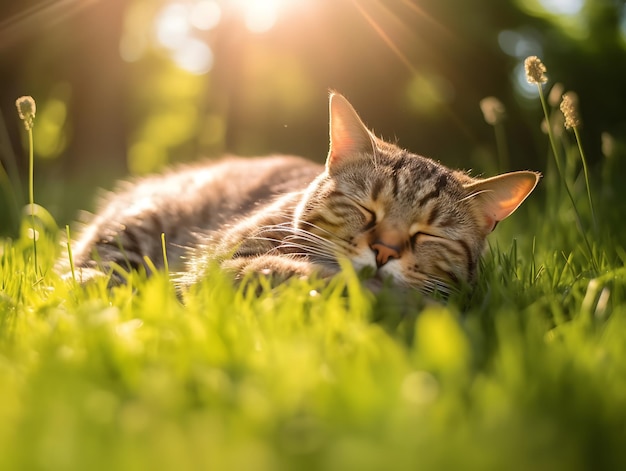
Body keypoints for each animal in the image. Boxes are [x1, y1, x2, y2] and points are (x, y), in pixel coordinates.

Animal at [66, 91, 540, 296]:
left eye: (428, 234)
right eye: (367, 210)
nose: (385, 252)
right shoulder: (218, 262)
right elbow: (281, 268)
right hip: (138, 227)